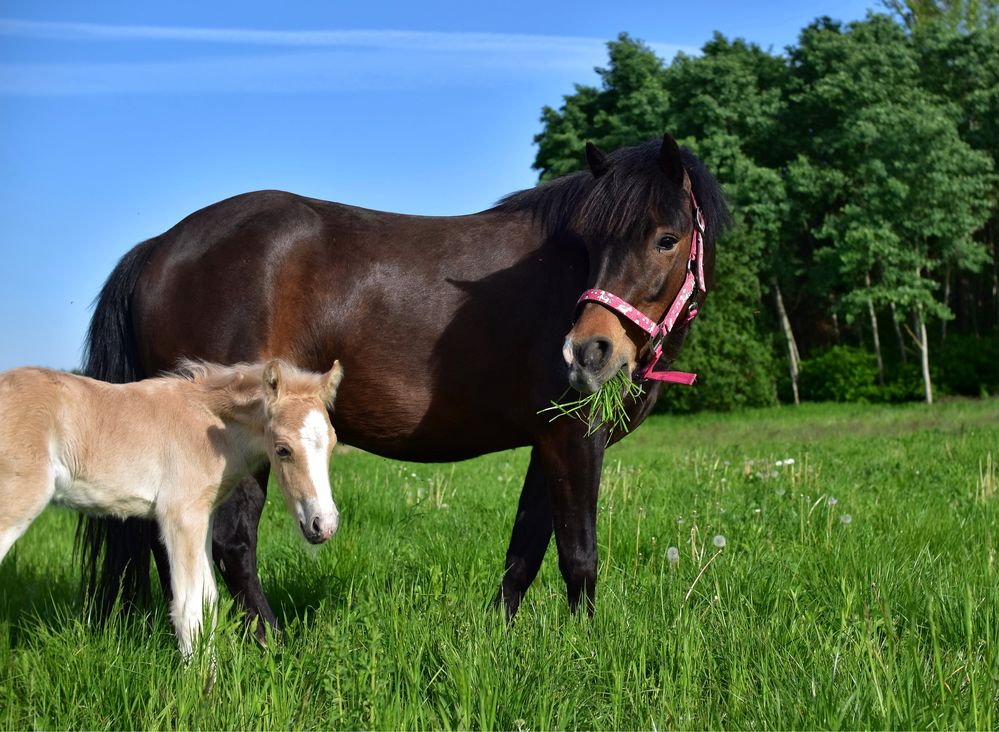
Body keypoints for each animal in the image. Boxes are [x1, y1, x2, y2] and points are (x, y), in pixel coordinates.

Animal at [0, 358, 344, 656]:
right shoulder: (181, 517)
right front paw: (201, 690)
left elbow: (208, 603)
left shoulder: (203, 517)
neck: (207, 427)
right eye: (283, 449)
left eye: (332, 445)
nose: (323, 524)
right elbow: (189, 610)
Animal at [78, 134, 728, 636]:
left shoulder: (547, 442)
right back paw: (275, 644)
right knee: (231, 544)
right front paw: (585, 650)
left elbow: (525, 551)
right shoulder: (574, 439)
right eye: (592, 243)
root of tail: (160, 248)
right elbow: (579, 557)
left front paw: (499, 639)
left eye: (666, 238)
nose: (587, 352)